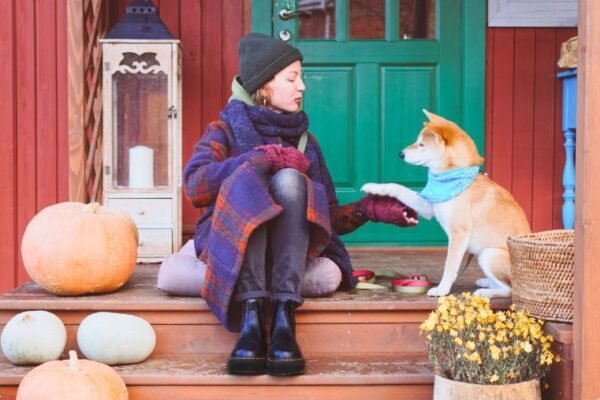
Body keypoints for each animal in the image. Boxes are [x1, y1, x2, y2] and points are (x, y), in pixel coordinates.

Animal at [360, 109, 528, 296]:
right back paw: (487, 283)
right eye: (417, 142)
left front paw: (441, 290)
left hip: (489, 254)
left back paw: (487, 292)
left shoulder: (459, 233)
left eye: (422, 144)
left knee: (509, 289)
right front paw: (375, 187)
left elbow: (450, 267)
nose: (400, 154)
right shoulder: (428, 205)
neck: (452, 176)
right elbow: (398, 187)